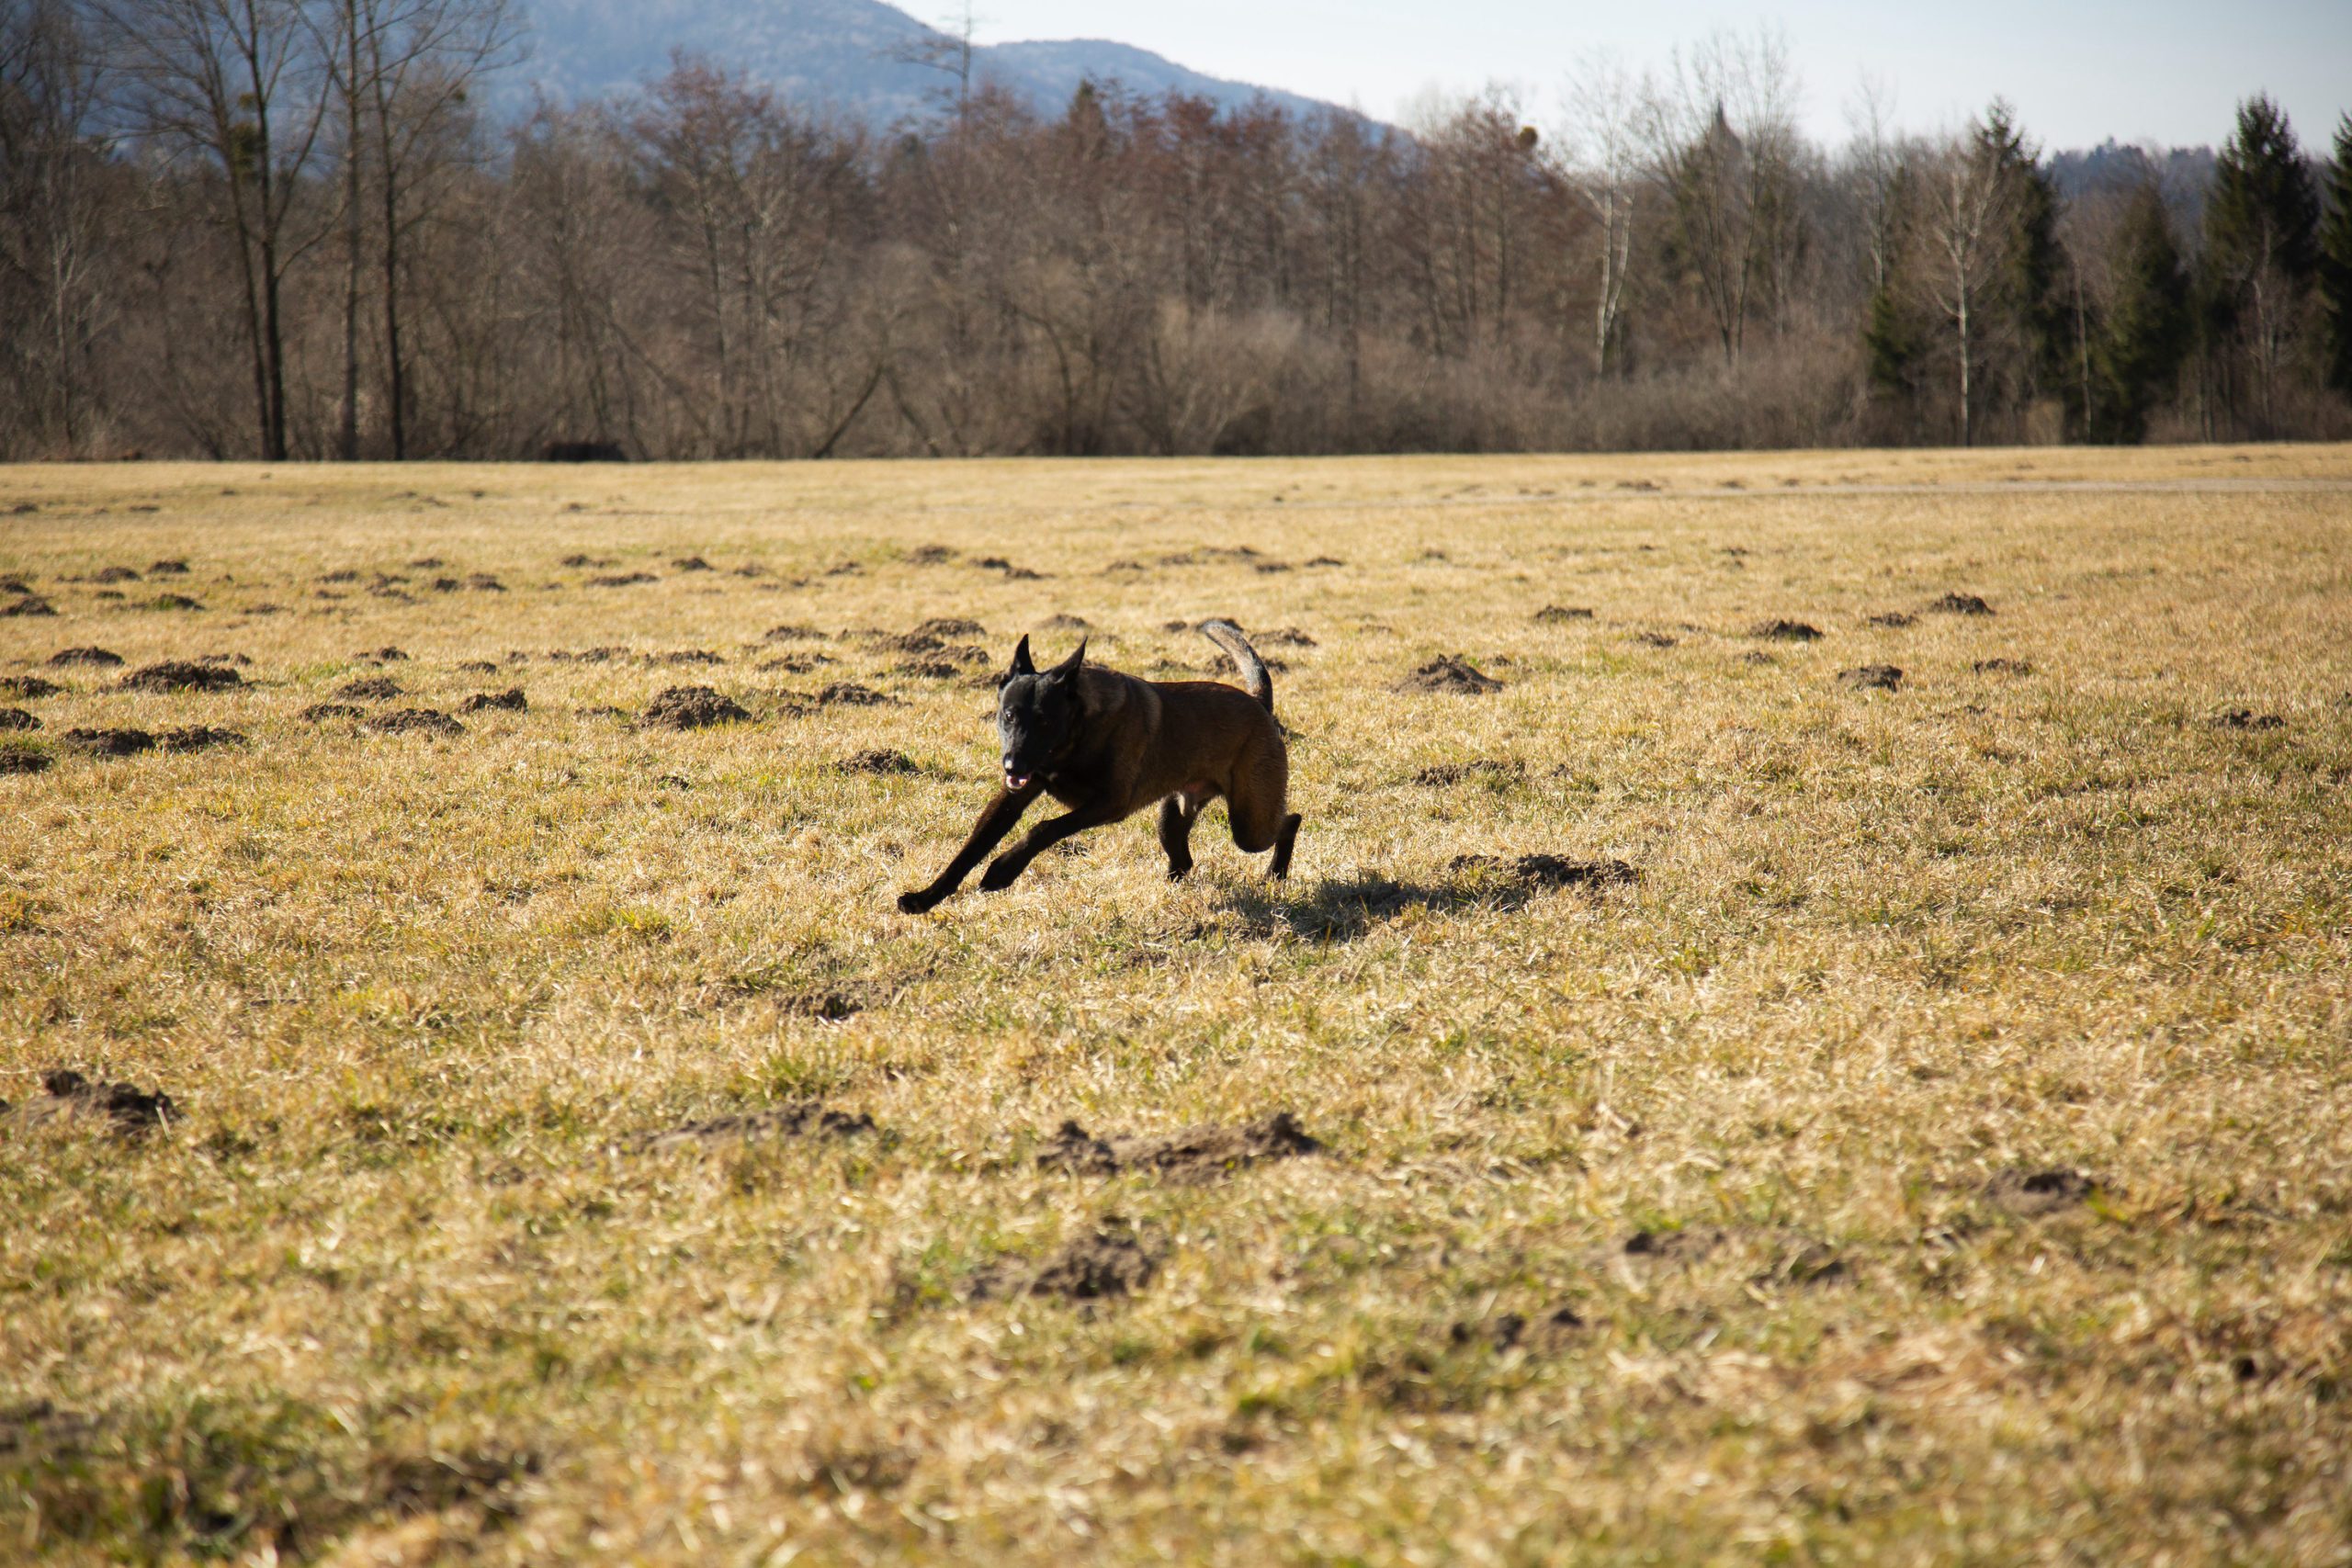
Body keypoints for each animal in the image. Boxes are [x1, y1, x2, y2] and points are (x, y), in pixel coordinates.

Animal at [898, 620, 1307, 921]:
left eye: (1044, 721)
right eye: (1008, 715)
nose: (1012, 764)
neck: (1077, 734)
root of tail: (1259, 703)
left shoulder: (1111, 804)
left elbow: (1044, 828)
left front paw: (1002, 871)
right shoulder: (1014, 797)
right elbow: (968, 851)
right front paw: (924, 898)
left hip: (1250, 821)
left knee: (1289, 821)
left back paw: (1274, 875)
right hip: (1171, 815)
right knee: (1184, 857)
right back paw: (1174, 886)